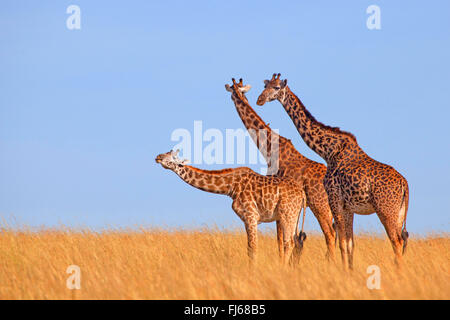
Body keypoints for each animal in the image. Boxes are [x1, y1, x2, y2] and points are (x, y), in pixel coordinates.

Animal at [156, 149, 308, 264]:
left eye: (174, 157)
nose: (158, 157)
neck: (230, 187)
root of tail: (302, 193)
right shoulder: (248, 219)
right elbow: (250, 248)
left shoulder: (251, 216)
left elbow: (252, 248)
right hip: (294, 216)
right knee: (296, 241)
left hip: (286, 214)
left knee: (288, 242)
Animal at [225, 78, 338, 262]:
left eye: (233, 94)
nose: (258, 100)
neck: (270, 149)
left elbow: (280, 239)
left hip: (319, 205)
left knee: (330, 234)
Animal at [255, 74, 410, 268]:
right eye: (265, 86)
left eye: (276, 87)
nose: (259, 100)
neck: (328, 151)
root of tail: (404, 184)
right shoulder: (348, 207)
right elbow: (350, 243)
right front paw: (349, 270)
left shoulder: (335, 199)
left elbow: (342, 242)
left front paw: (341, 270)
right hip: (399, 212)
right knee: (401, 240)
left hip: (385, 209)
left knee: (396, 241)